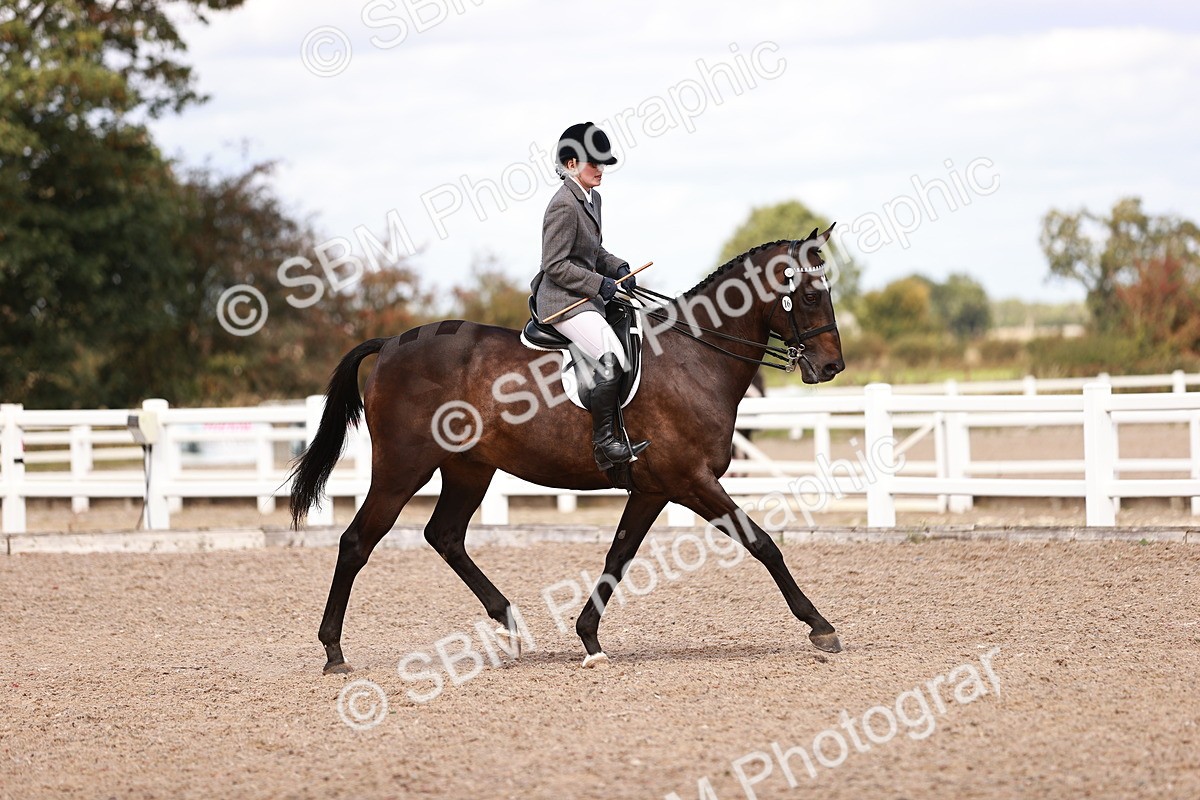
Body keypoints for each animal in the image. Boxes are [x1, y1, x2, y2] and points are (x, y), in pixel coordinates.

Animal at [290, 225, 846, 674]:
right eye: (810, 296)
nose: (832, 368)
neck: (695, 357)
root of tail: (389, 344)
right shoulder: (691, 480)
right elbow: (762, 543)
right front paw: (819, 626)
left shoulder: (653, 489)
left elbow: (618, 556)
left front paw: (589, 639)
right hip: (403, 468)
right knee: (356, 542)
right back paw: (334, 652)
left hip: (470, 469)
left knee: (444, 535)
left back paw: (510, 624)